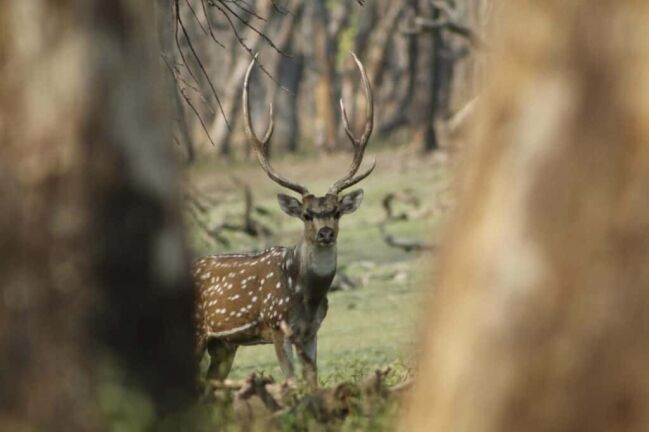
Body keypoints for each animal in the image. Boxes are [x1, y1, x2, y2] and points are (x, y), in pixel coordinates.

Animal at [193, 53, 374, 388]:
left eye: (336, 211)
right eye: (306, 214)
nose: (326, 233)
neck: (307, 295)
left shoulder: (312, 331)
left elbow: (313, 381)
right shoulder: (276, 325)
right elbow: (290, 381)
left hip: (223, 345)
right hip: (199, 332)